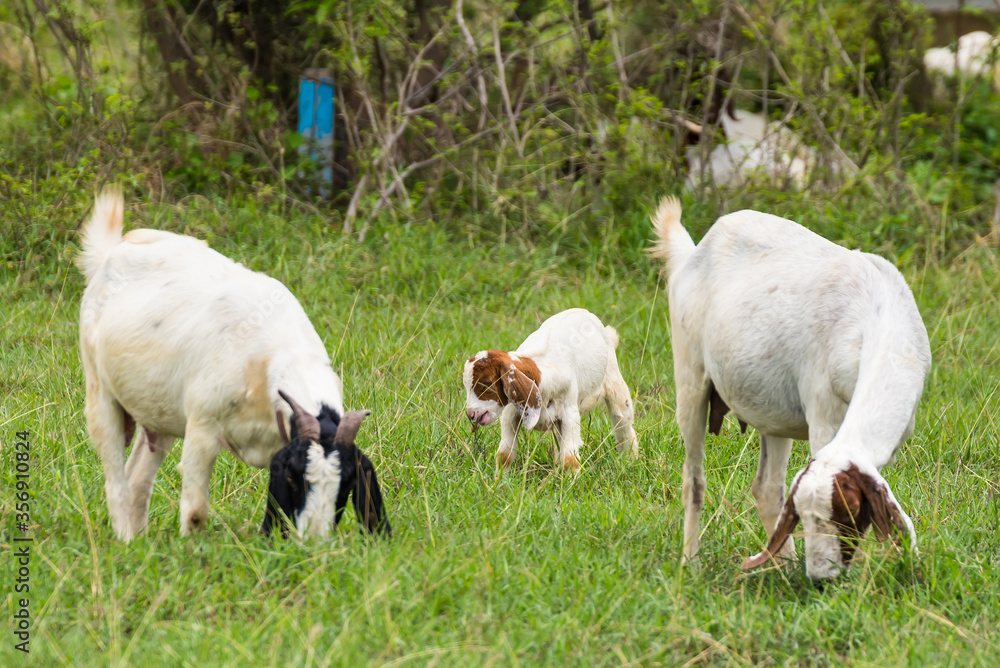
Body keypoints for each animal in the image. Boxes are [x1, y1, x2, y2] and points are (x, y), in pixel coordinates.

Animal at [78, 187, 386, 539]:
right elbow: (195, 511)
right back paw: (126, 539)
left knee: (138, 476)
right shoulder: (202, 428)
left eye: (346, 484)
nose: (314, 541)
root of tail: (112, 251)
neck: (270, 363)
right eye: (294, 478)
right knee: (115, 476)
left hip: (159, 411)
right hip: (100, 391)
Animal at [462, 308, 639, 471]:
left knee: (623, 422)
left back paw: (630, 459)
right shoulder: (511, 412)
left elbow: (570, 459)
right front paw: (499, 480)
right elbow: (505, 454)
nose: (471, 414)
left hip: (615, 382)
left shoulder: (569, 412)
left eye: (486, 383)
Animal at [649, 197, 931, 580]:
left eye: (849, 512)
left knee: (767, 487)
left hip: (771, 409)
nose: (821, 578)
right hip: (690, 374)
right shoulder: (824, 414)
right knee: (693, 479)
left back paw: (784, 566)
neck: (877, 317)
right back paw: (690, 564)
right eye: (805, 518)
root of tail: (694, 250)